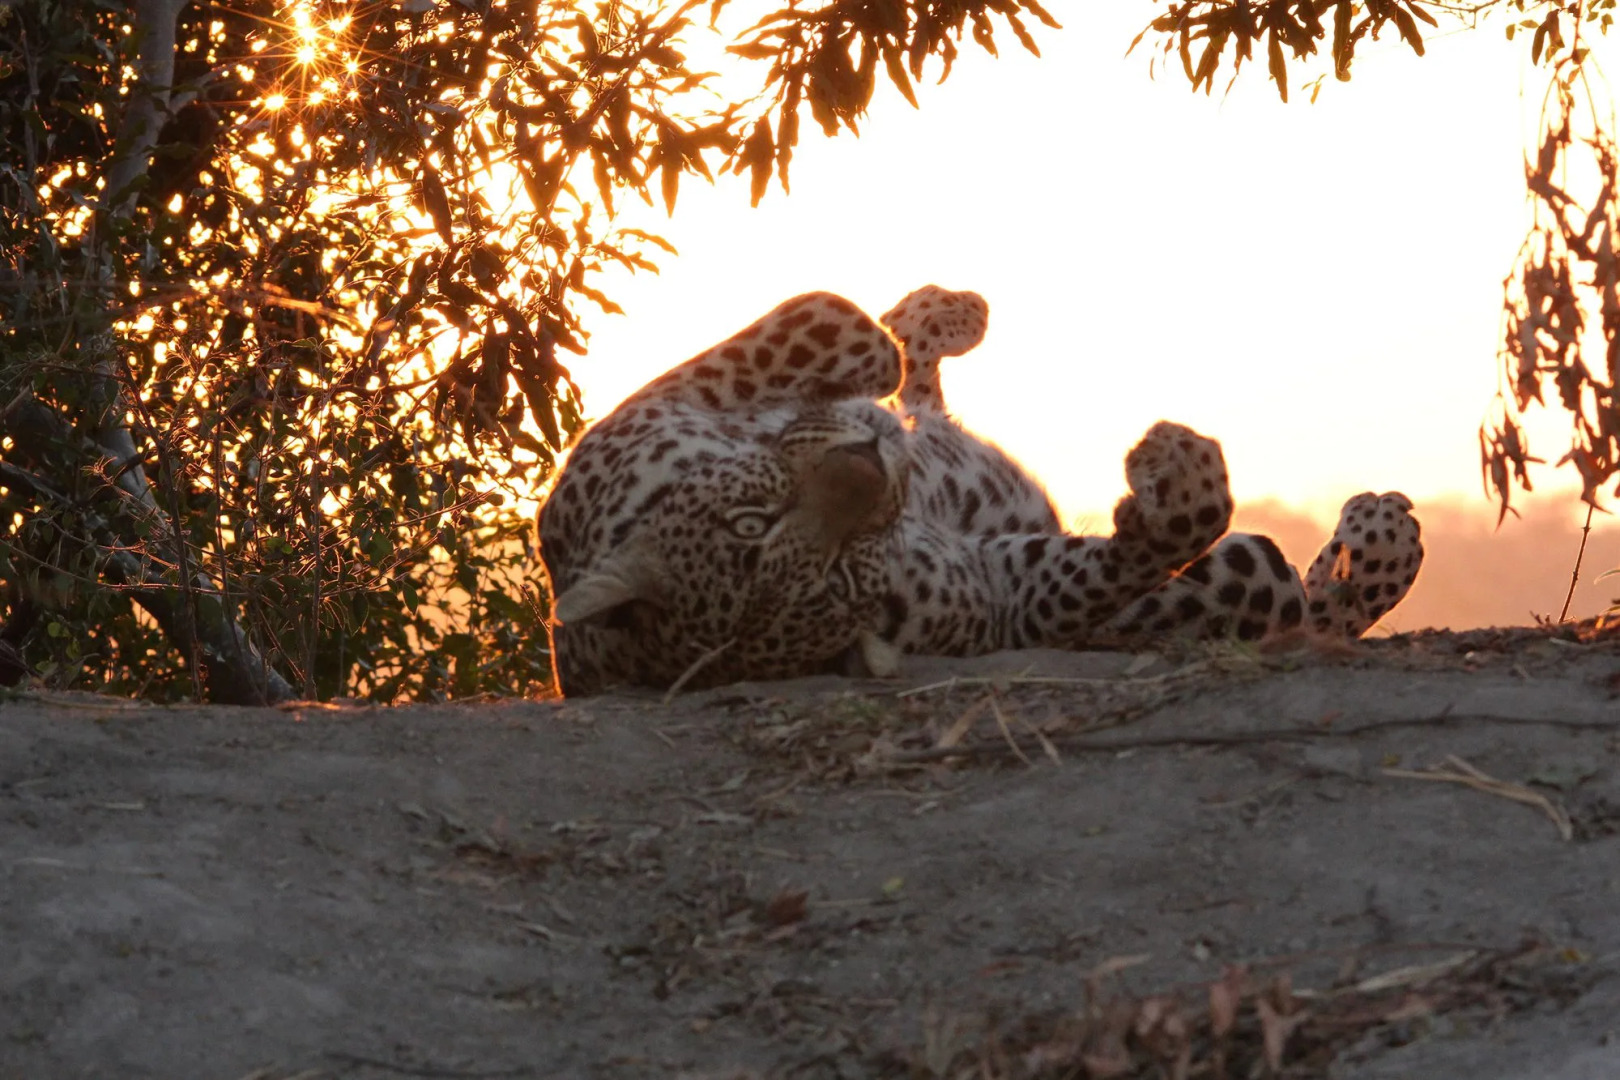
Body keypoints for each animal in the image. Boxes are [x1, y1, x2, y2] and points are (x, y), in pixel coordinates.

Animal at [538, 288, 1424, 695]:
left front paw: (879, 359)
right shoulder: (1003, 600)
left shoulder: (662, 406)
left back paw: (940, 323)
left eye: (753, 519)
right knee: (1301, 599)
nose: (875, 459)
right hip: (1241, 582)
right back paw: (1380, 536)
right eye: (839, 576)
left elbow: (838, 328)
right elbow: (1142, 546)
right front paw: (1176, 477)